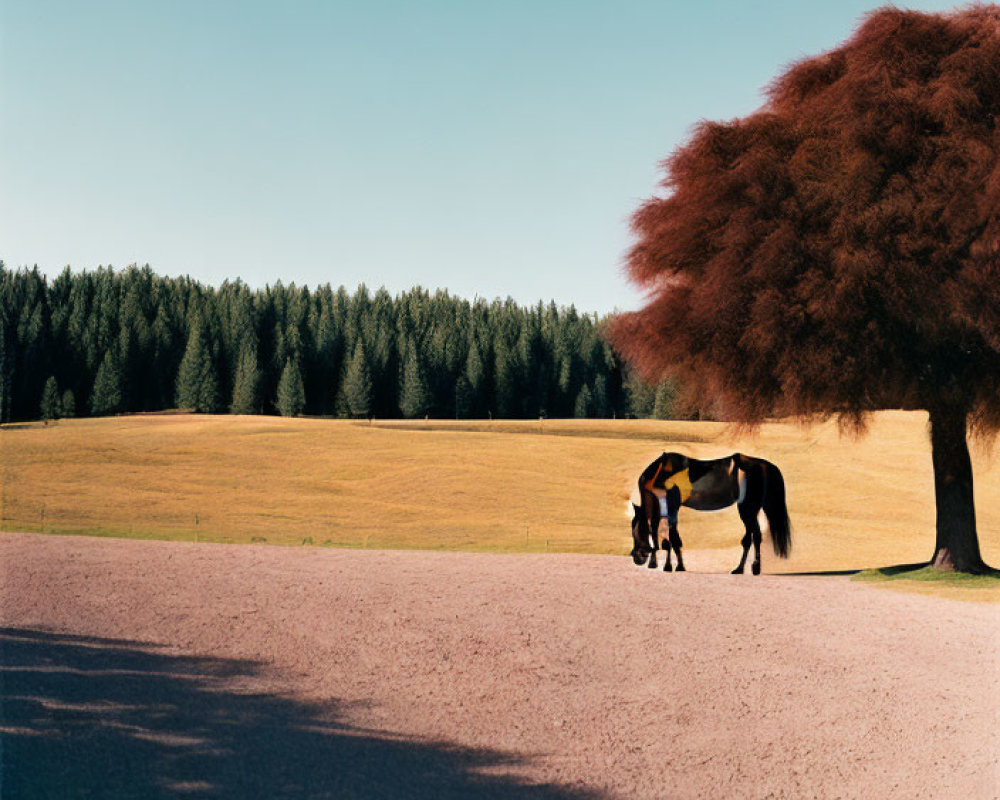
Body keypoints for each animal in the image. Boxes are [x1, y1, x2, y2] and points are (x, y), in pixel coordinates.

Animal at [632, 450, 788, 576]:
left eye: (638, 531)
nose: (636, 558)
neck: (659, 475)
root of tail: (764, 465)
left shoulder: (671, 508)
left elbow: (672, 539)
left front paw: (674, 566)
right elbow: (663, 537)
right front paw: (665, 565)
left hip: (747, 509)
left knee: (755, 536)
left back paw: (755, 568)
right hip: (748, 511)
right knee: (748, 539)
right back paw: (739, 569)